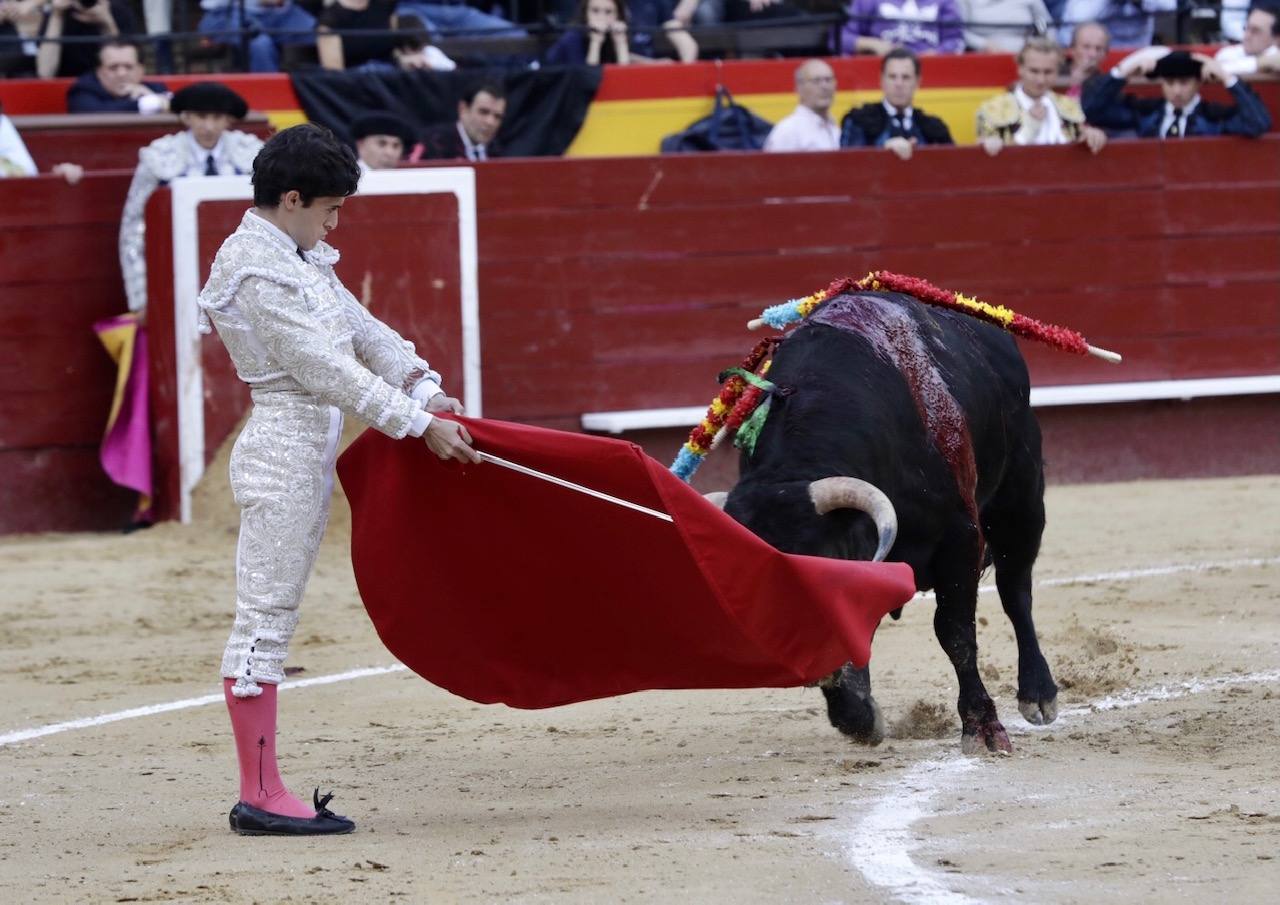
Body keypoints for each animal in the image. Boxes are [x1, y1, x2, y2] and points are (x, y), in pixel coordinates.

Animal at [727, 291, 1054, 757]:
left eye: (819, 564)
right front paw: (859, 718)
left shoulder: (960, 537)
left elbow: (956, 633)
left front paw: (984, 728)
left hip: (1020, 499)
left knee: (1015, 591)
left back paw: (1038, 693)